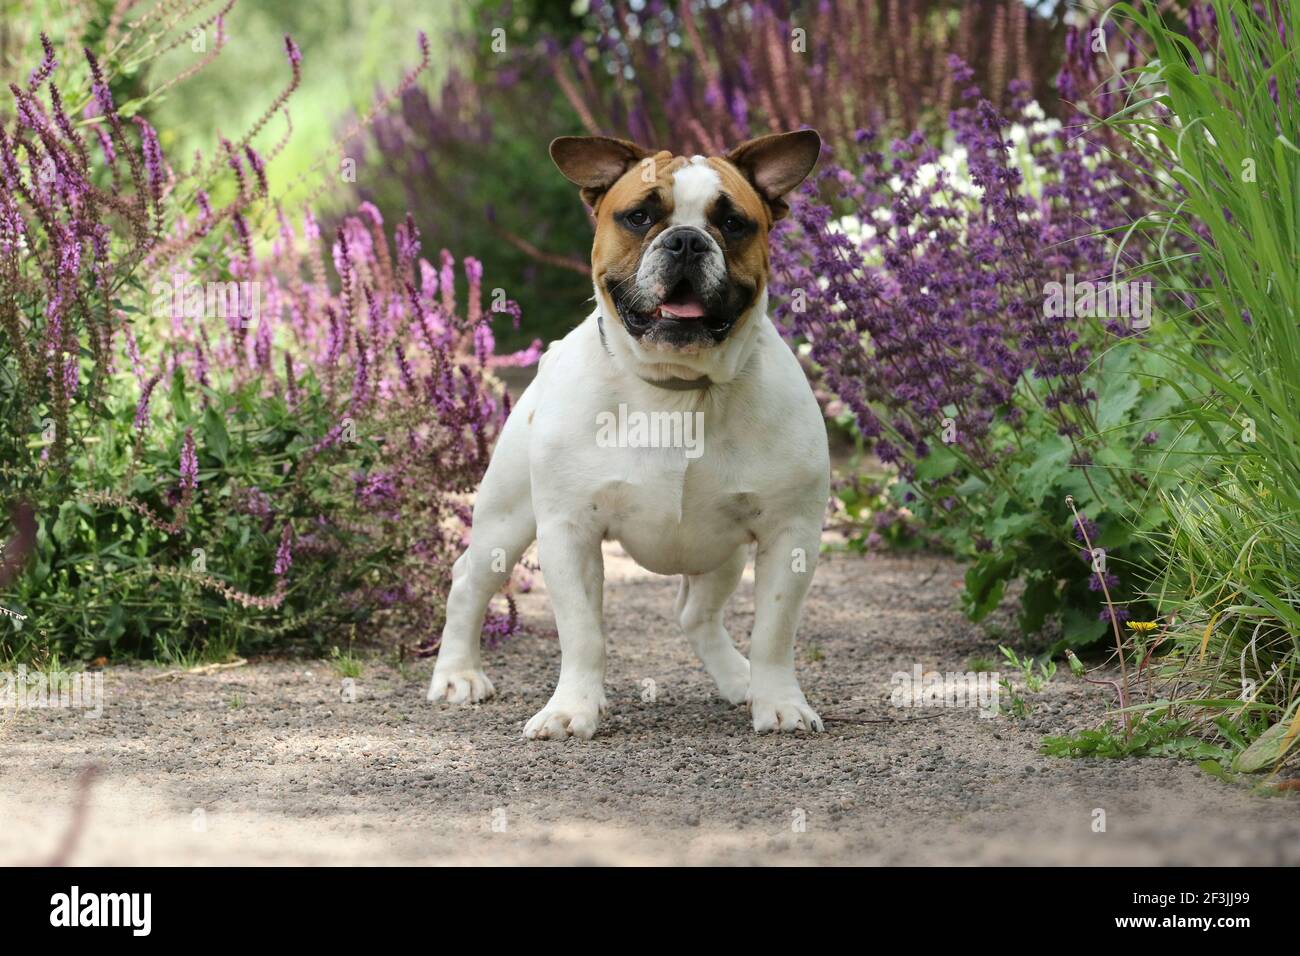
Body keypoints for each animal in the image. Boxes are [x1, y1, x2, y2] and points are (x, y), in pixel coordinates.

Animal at [431, 128, 826, 738]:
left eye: (733, 223)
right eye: (639, 216)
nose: (685, 241)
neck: (679, 388)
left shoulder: (790, 533)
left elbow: (774, 633)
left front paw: (778, 701)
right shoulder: (570, 531)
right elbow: (583, 634)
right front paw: (572, 709)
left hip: (722, 551)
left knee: (696, 613)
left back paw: (740, 679)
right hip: (505, 521)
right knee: (468, 583)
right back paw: (457, 675)